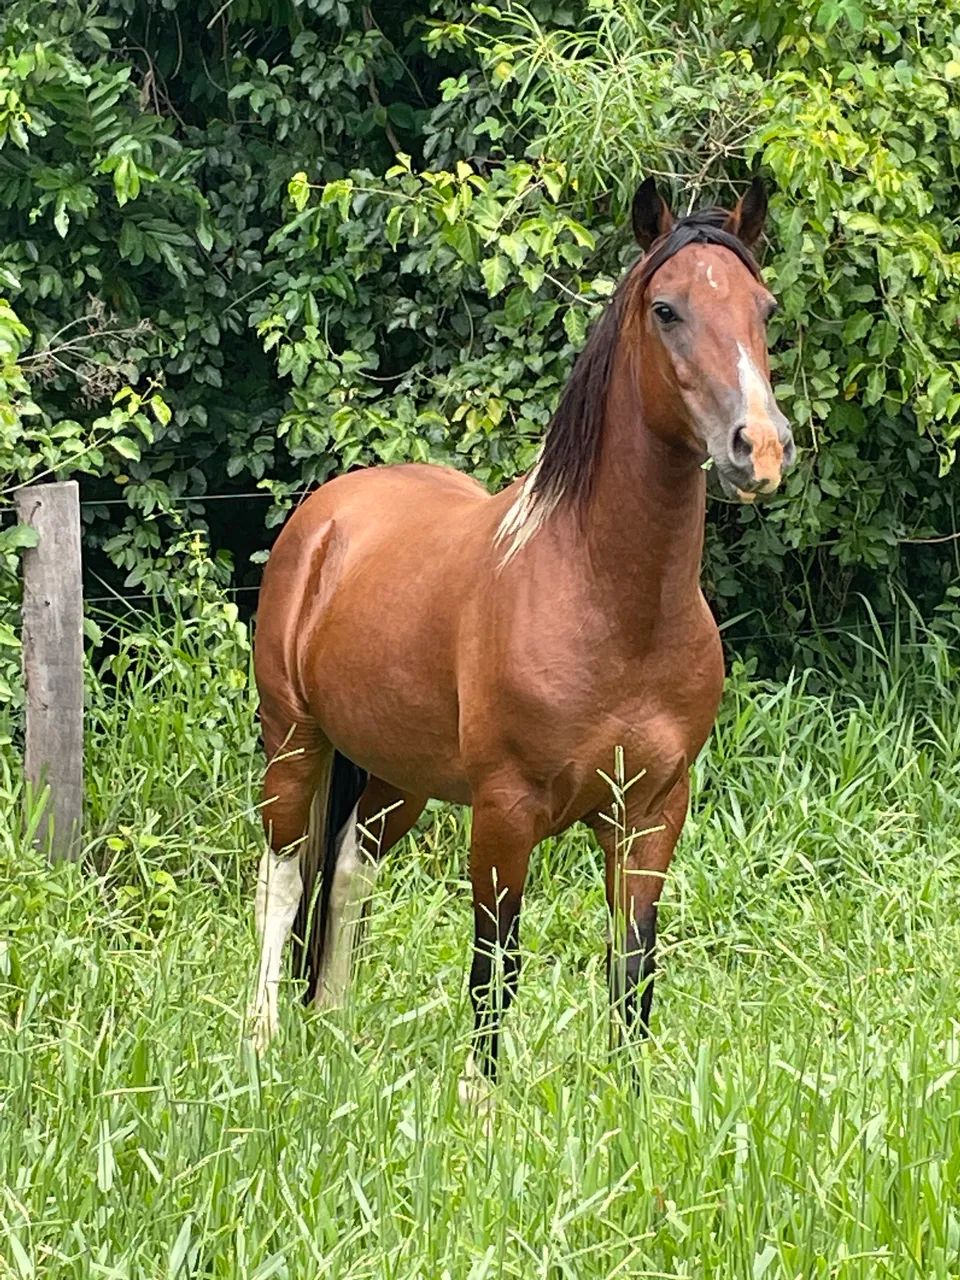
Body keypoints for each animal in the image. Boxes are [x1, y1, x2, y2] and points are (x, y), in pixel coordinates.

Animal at [249, 176, 795, 1102]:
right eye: (667, 309)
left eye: (762, 309)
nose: (758, 449)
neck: (613, 605)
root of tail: (328, 517)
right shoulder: (506, 815)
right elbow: (494, 961)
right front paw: (482, 1098)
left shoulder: (652, 813)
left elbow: (633, 966)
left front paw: (627, 1098)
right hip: (295, 741)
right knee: (283, 875)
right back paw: (261, 1039)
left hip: (400, 775)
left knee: (350, 869)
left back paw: (333, 1029)